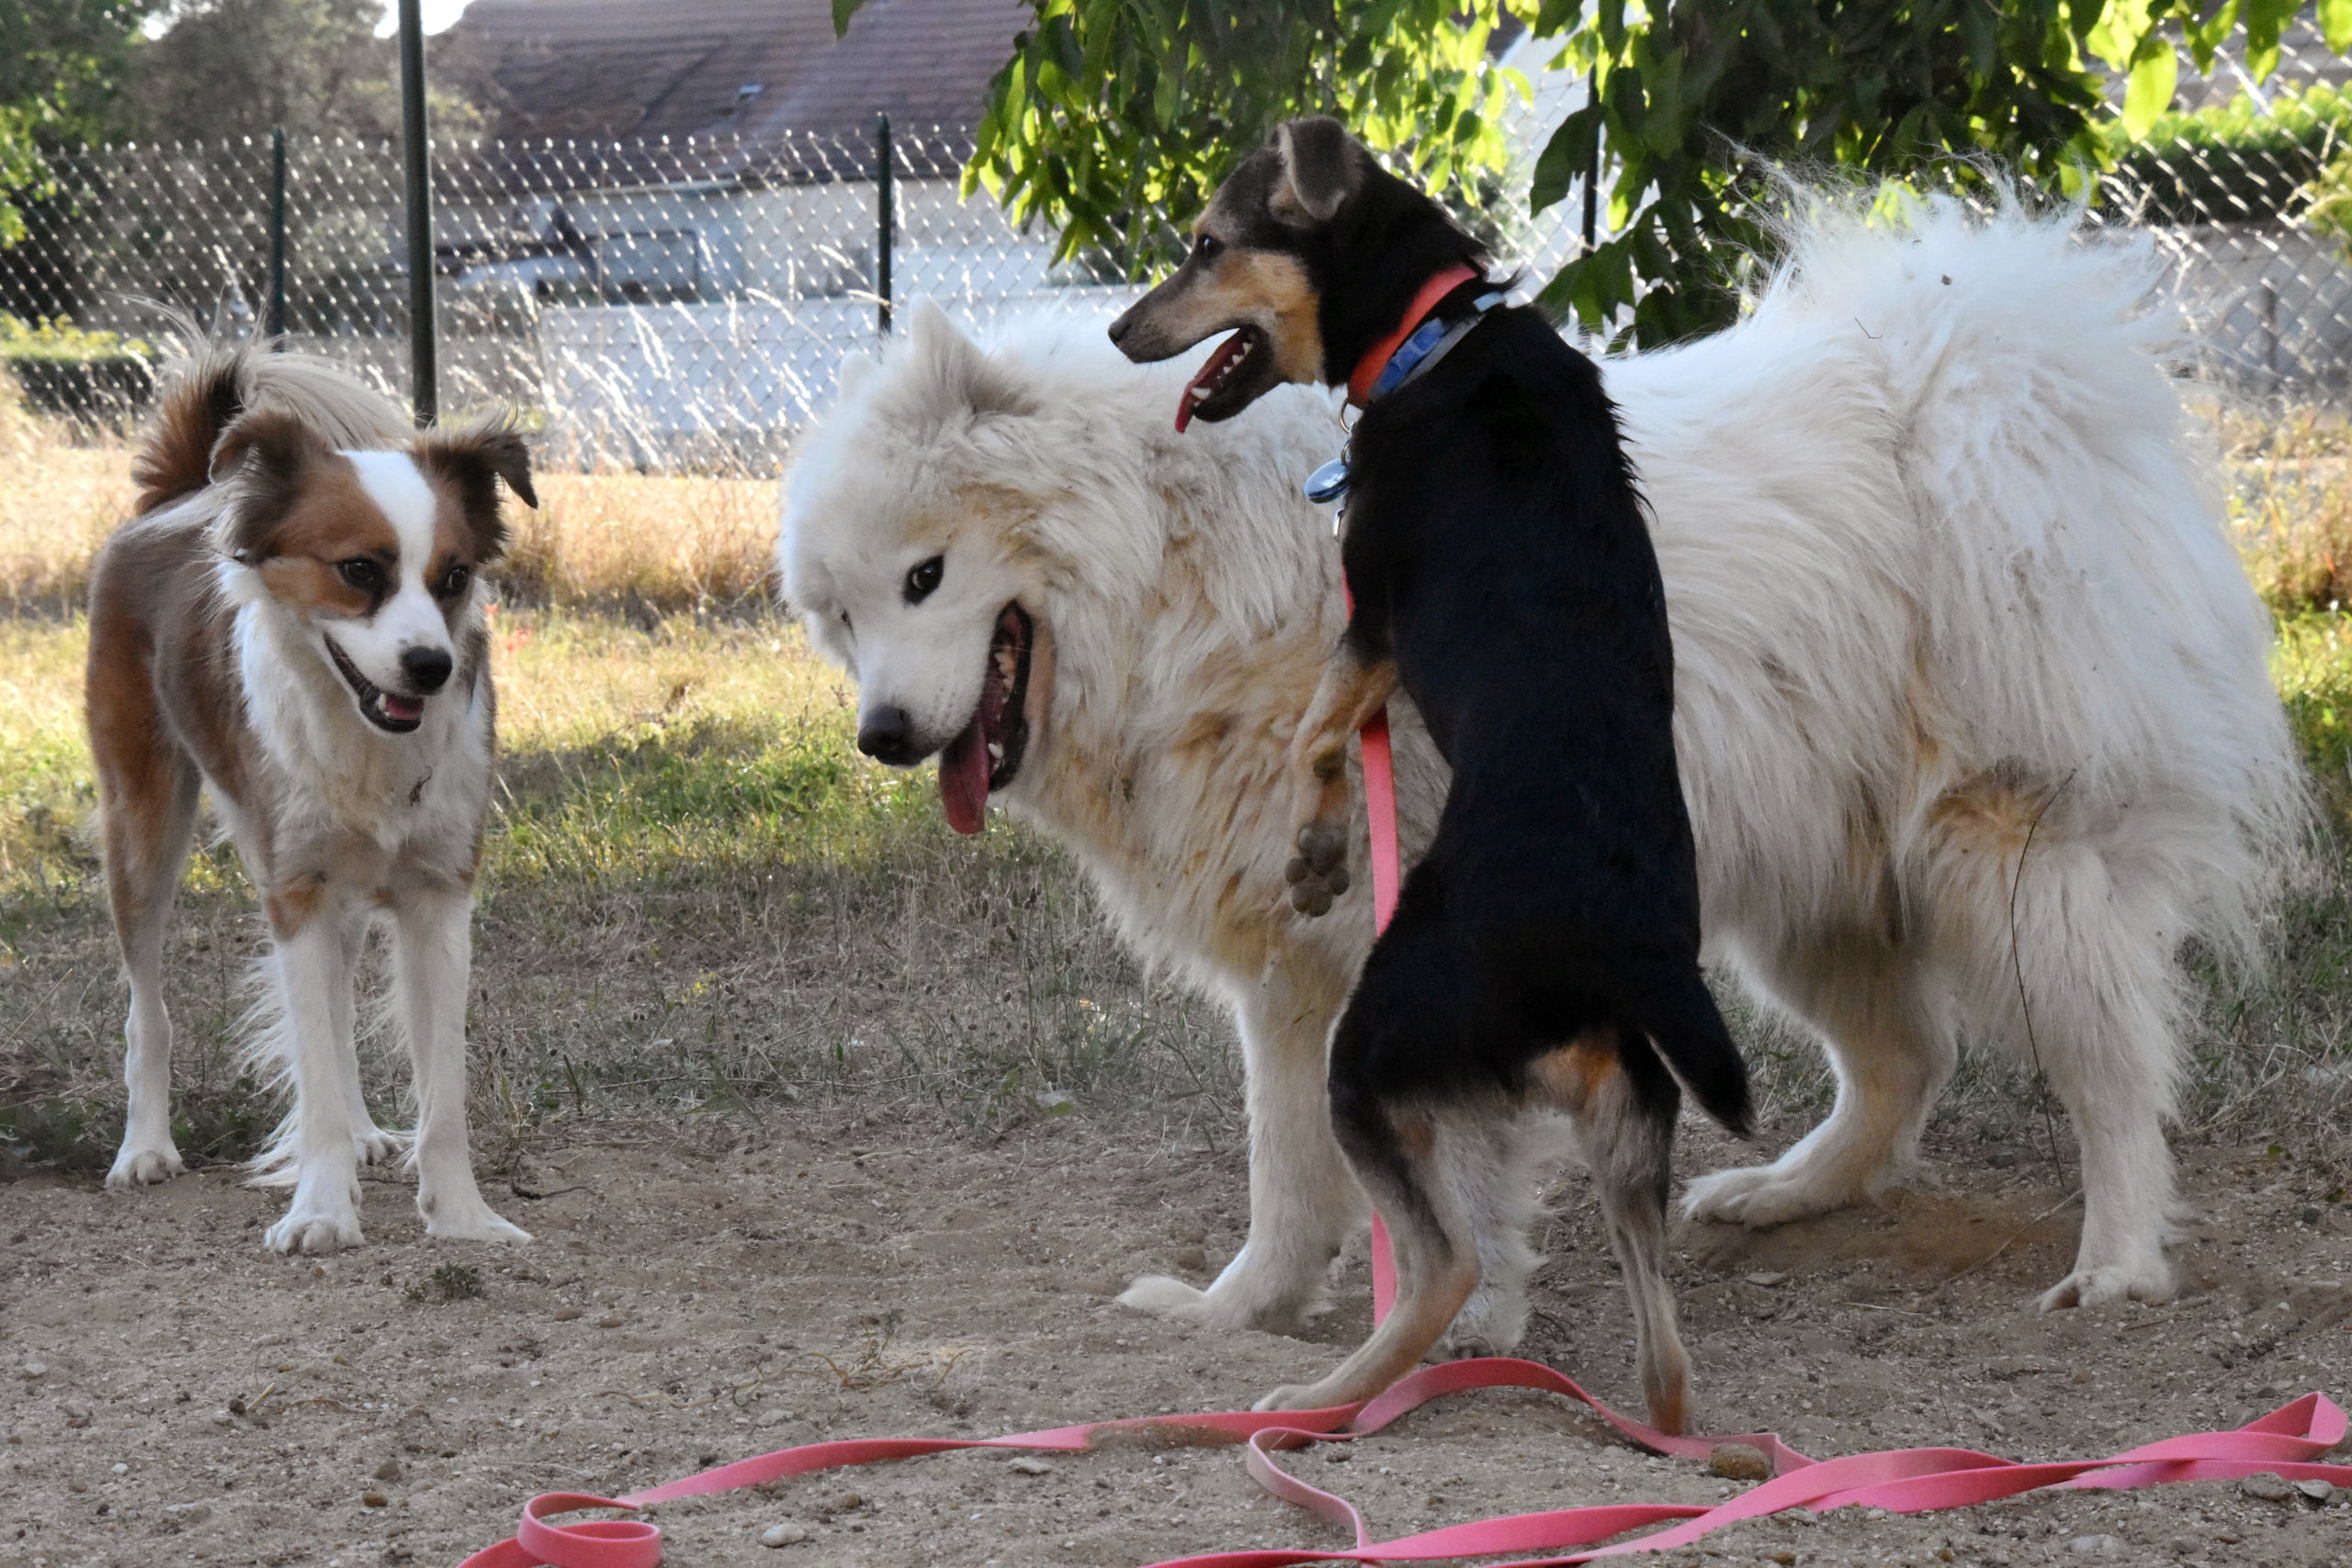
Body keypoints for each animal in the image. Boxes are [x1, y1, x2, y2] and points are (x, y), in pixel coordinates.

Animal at [88, 338, 538, 1259]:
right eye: (359, 570)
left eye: (453, 577)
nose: (431, 666)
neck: (367, 739)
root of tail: (181, 496)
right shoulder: (294, 892)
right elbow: (316, 1065)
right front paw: (321, 1210)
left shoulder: (438, 895)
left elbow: (439, 1085)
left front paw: (461, 1215)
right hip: (143, 827)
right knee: (148, 1005)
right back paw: (145, 1145)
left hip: (342, 886)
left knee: (333, 1006)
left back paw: (365, 1133)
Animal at [786, 192, 2295, 1354]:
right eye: (844, 616)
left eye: (926, 576)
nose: (884, 735)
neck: (1180, 559)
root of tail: (1993, 370)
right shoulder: (1295, 971)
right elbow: (1289, 1178)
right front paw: (1239, 1313)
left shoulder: (1417, 949)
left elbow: (1441, 1177)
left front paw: (1457, 1320)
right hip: (1800, 890)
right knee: (1904, 1060)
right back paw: (1783, 1191)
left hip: (2009, 856)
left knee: (2114, 1069)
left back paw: (2117, 1261)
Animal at [1105, 116, 1749, 1429]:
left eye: (1206, 245)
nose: (1115, 331)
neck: (1435, 337)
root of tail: (1613, 949)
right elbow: (1321, 730)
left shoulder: (1371, 612)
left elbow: (1314, 733)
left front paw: (1313, 859)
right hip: (1627, 1116)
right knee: (1662, 1354)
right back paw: (1665, 1435)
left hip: (1369, 1053)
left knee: (1441, 1264)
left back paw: (1320, 1399)